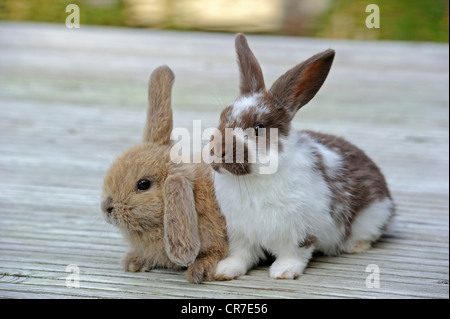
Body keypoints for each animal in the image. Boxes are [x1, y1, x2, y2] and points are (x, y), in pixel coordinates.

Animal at [210, 33, 394, 282]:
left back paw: (355, 246)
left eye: (258, 128)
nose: (216, 152)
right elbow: (241, 255)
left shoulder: (300, 230)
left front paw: (283, 272)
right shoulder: (240, 232)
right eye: (222, 118)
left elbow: (295, 253)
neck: (254, 178)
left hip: (372, 214)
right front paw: (224, 271)